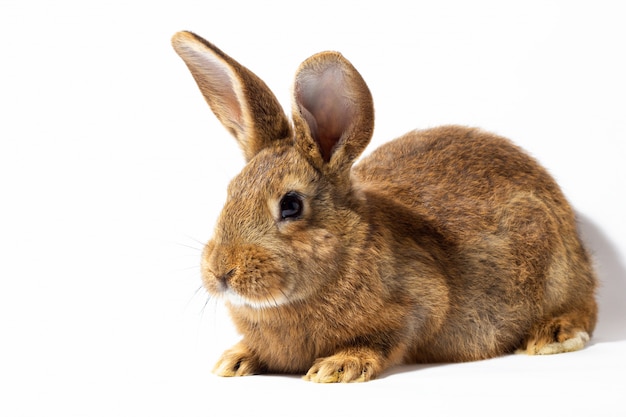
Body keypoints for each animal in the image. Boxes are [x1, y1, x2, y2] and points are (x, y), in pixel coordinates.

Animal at [169, 31, 596, 384]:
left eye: (291, 205)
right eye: (230, 191)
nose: (221, 271)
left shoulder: (418, 306)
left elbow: (386, 339)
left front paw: (337, 367)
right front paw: (234, 360)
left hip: (553, 263)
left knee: (585, 305)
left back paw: (553, 335)